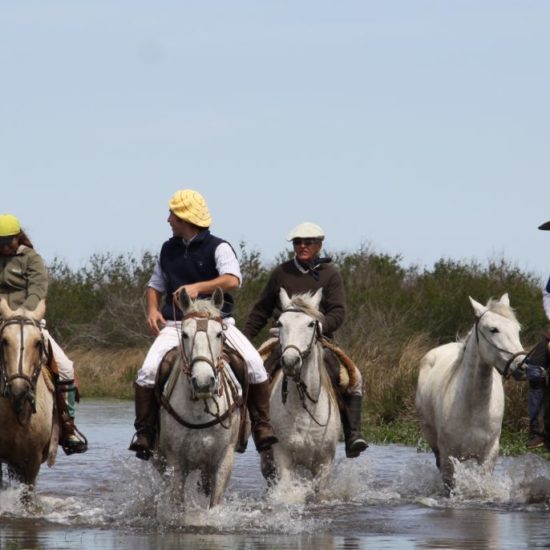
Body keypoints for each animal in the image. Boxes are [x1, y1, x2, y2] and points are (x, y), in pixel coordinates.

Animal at [416, 294, 528, 492]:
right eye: (493, 329)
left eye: (517, 329)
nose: (521, 367)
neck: (473, 407)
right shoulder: (448, 454)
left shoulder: (489, 454)